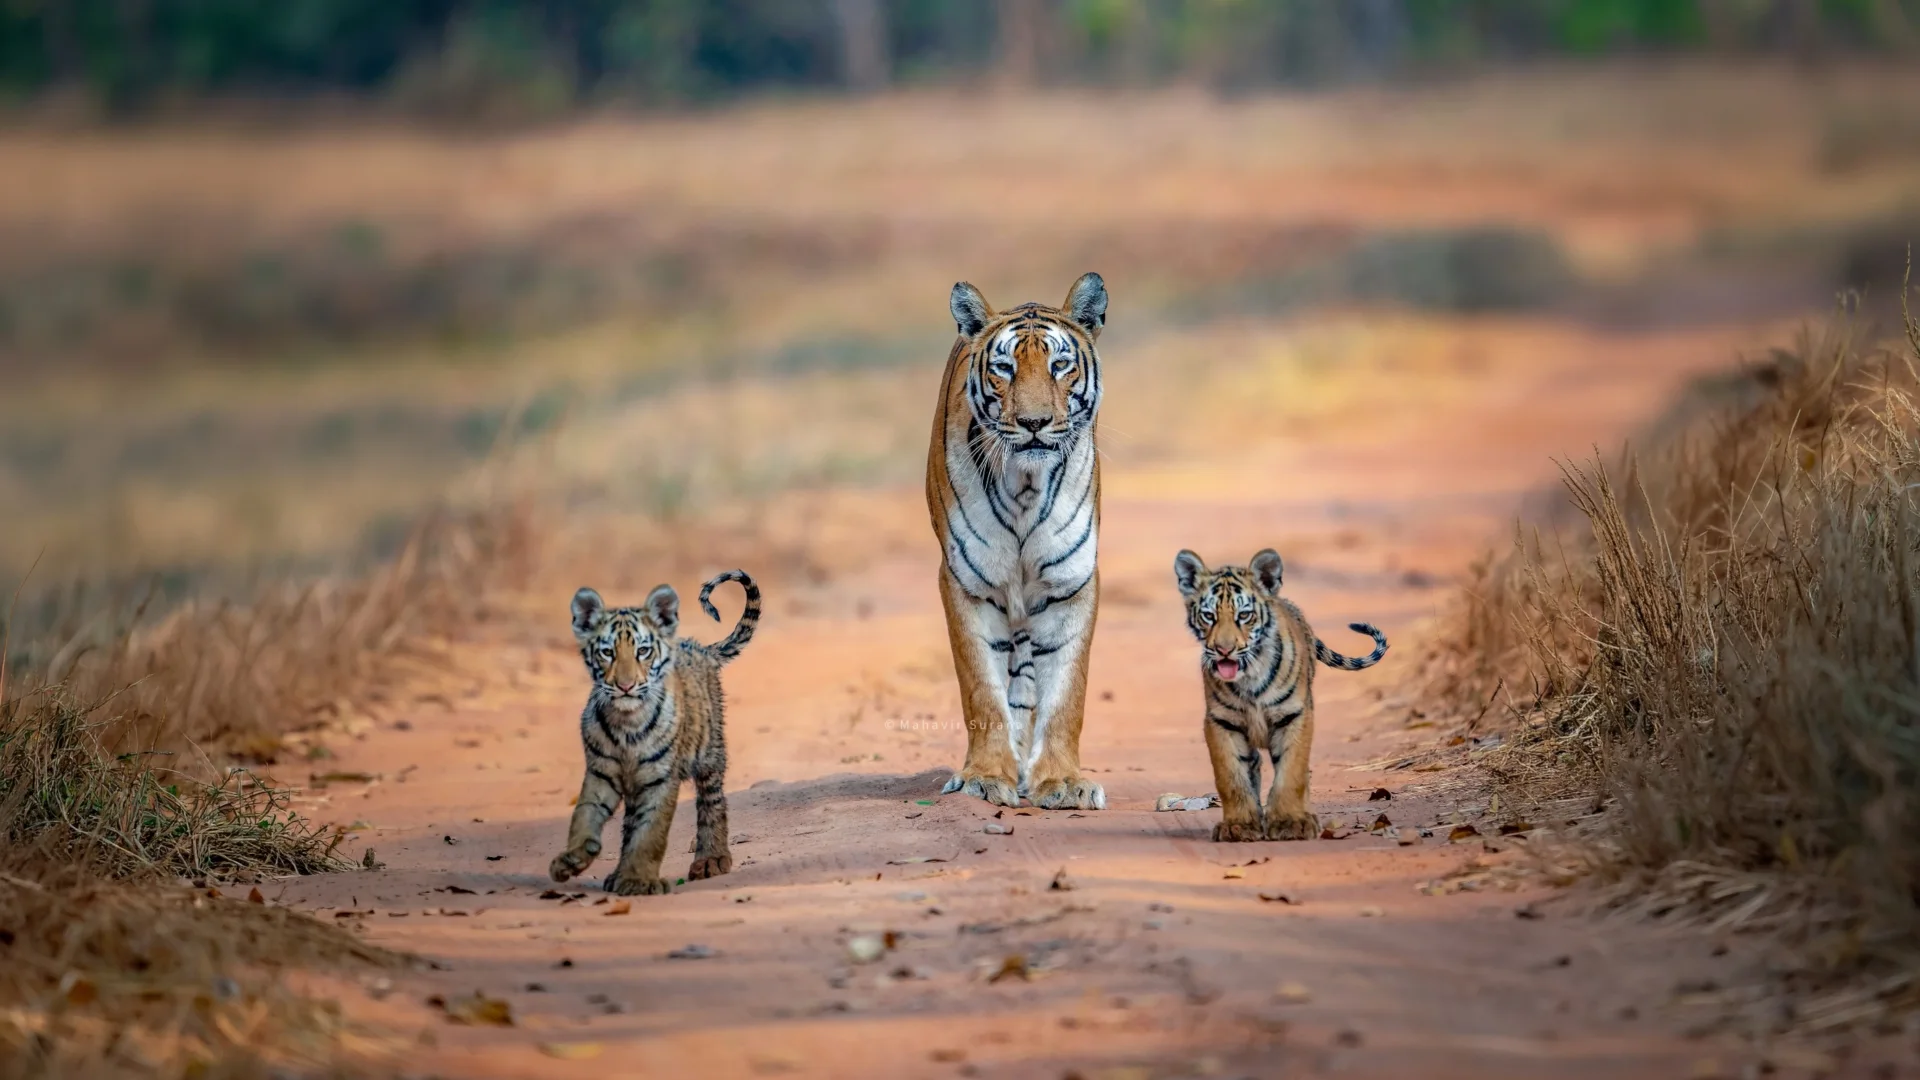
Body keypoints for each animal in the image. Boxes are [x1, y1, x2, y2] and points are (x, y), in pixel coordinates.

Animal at [549, 570, 761, 895]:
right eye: (607, 653)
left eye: (643, 651)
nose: (625, 686)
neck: (627, 721)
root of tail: (700, 648)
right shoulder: (601, 772)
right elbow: (584, 814)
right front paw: (572, 858)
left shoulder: (660, 778)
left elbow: (650, 832)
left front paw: (638, 880)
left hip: (709, 755)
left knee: (712, 802)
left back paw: (711, 860)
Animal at [926, 272, 1108, 810]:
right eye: (1004, 368)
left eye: (1059, 365)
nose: (1033, 424)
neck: (1026, 484)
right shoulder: (966, 582)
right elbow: (982, 689)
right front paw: (985, 778)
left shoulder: (1071, 584)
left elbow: (1066, 692)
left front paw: (1062, 782)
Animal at [1172, 549, 1387, 842]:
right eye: (1208, 615)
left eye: (1244, 615)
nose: (1224, 650)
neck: (1249, 674)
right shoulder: (1221, 721)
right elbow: (1230, 776)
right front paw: (1239, 826)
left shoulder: (1295, 714)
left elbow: (1292, 772)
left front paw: (1290, 823)